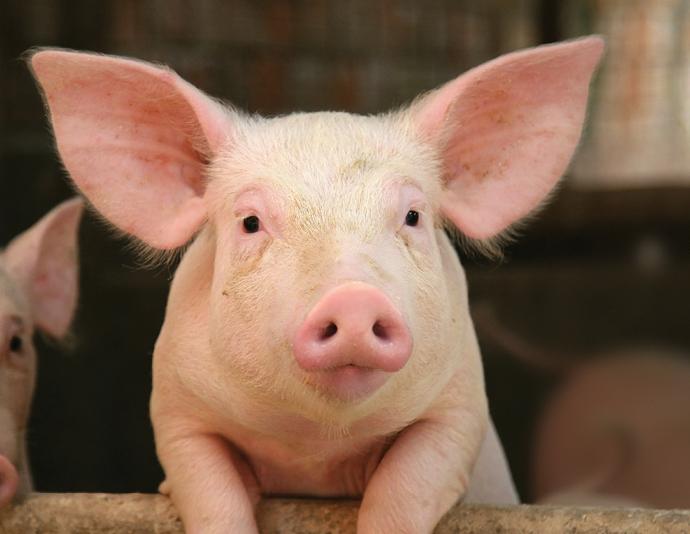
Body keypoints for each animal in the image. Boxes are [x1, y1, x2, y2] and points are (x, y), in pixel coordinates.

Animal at [29, 37, 603, 533]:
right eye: (250, 222)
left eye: (413, 215)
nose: (353, 298)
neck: (317, 448)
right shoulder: (176, 410)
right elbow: (211, 493)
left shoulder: (460, 406)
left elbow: (406, 487)